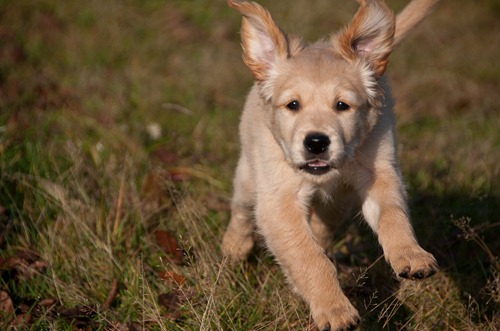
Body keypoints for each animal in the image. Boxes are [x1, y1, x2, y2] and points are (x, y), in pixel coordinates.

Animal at [223, 0, 438, 330]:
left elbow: (392, 215)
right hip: (250, 179)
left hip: (337, 203)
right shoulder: (278, 200)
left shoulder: (379, 174)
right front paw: (334, 309)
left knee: (322, 229)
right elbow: (309, 257)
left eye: (342, 106)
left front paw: (410, 255)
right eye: (293, 105)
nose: (316, 143)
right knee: (242, 210)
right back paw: (234, 247)